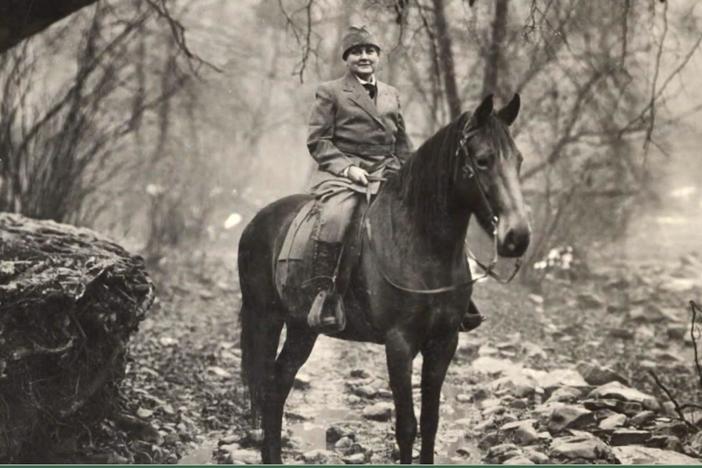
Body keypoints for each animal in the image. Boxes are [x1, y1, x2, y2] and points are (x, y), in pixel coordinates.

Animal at [239, 95, 532, 464]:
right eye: (482, 160)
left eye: (518, 160)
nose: (518, 237)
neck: (422, 245)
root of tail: (257, 221)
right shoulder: (399, 344)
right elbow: (407, 426)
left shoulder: (443, 343)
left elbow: (431, 422)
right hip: (266, 318)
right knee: (267, 386)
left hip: (302, 327)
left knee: (278, 386)